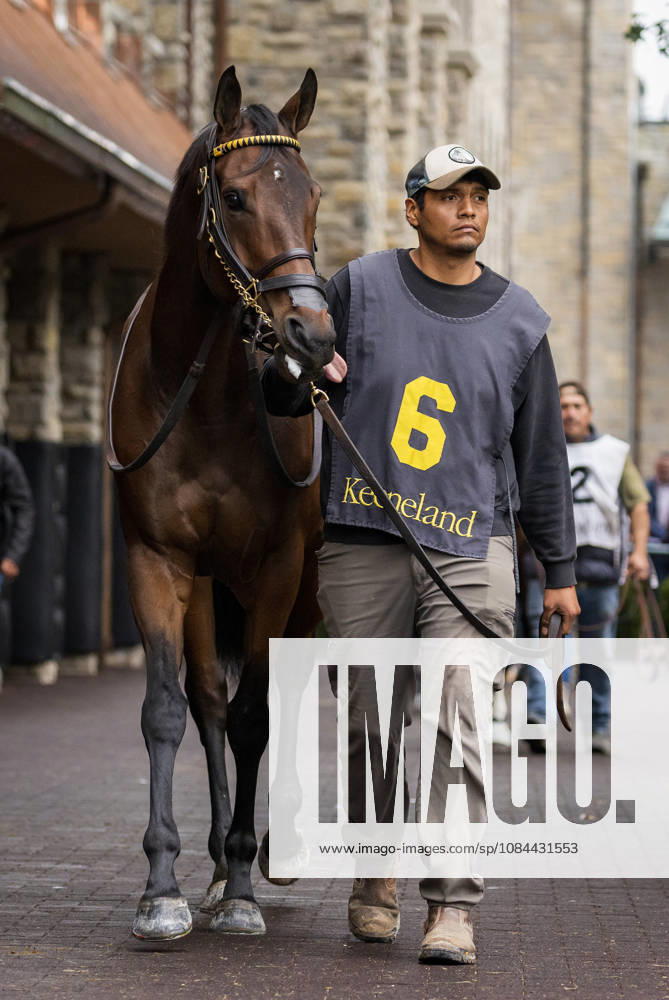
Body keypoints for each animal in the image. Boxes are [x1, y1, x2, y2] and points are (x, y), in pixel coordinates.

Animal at [109, 65, 335, 940]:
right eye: (234, 197)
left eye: (311, 195)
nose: (310, 333)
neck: (200, 398)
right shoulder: (158, 559)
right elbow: (171, 710)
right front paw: (166, 885)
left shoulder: (277, 568)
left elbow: (256, 715)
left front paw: (241, 885)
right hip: (209, 583)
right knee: (207, 700)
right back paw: (208, 864)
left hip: (309, 589)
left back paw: (270, 853)